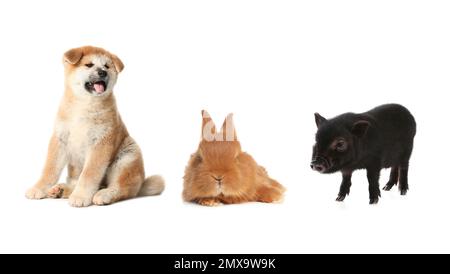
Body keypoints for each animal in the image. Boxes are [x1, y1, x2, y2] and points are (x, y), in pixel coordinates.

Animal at [25, 46, 165, 207]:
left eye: (107, 66)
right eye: (89, 65)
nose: (103, 72)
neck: (85, 104)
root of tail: (141, 184)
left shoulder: (100, 142)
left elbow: (89, 174)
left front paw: (80, 196)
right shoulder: (60, 139)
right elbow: (50, 169)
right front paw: (38, 188)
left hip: (127, 157)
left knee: (122, 189)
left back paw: (104, 194)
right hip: (77, 166)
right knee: (79, 182)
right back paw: (61, 190)